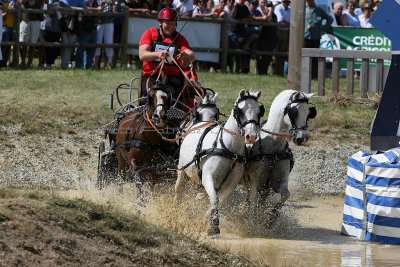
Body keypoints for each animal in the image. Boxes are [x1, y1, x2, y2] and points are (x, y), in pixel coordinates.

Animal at [174, 91, 262, 238]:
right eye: (240, 111)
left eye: (259, 112)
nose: (251, 136)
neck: (228, 147)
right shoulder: (208, 177)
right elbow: (215, 200)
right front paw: (213, 228)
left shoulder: (231, 183)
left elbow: (218, 201)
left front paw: (206, 219)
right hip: (182, 170)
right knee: (178, 190)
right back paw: (175, 208)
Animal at [242, 90, 318, 228]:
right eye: (294, 112)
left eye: (309, 113)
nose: (302, 138)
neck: (273, 147)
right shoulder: (254, 182)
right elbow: (254, 202)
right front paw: (252, 223)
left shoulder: (277, 183)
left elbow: (285, 194)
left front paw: (271, 219)